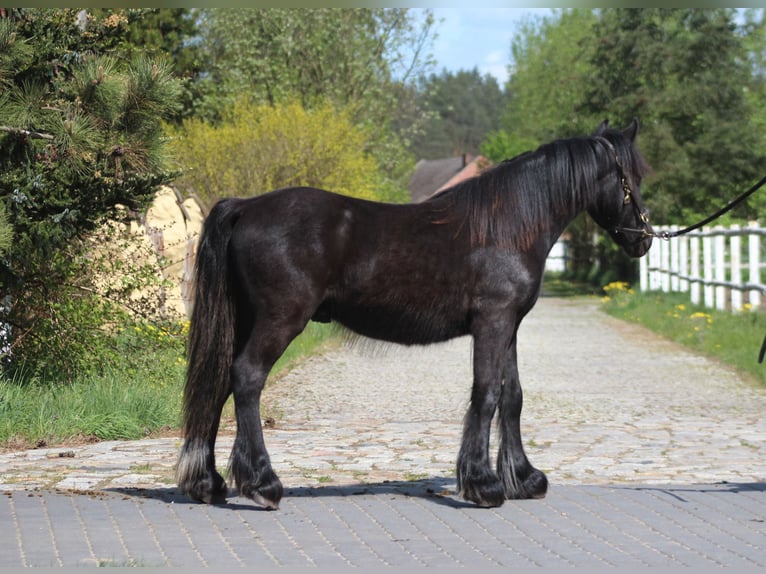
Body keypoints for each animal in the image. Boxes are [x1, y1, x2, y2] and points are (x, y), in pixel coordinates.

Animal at [176, 118, 656, 508]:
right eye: (629, 175)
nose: (644, 238)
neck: (508, 224)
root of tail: (245, 206)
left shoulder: (510, 327)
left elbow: (513, 397)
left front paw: (524, 478)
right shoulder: (493, 323)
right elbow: (486, 395)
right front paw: (483, 485)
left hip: (243, 322)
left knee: (219, 381)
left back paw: (208, 483)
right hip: (279, 321)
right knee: (247, 378)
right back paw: (263, 484)